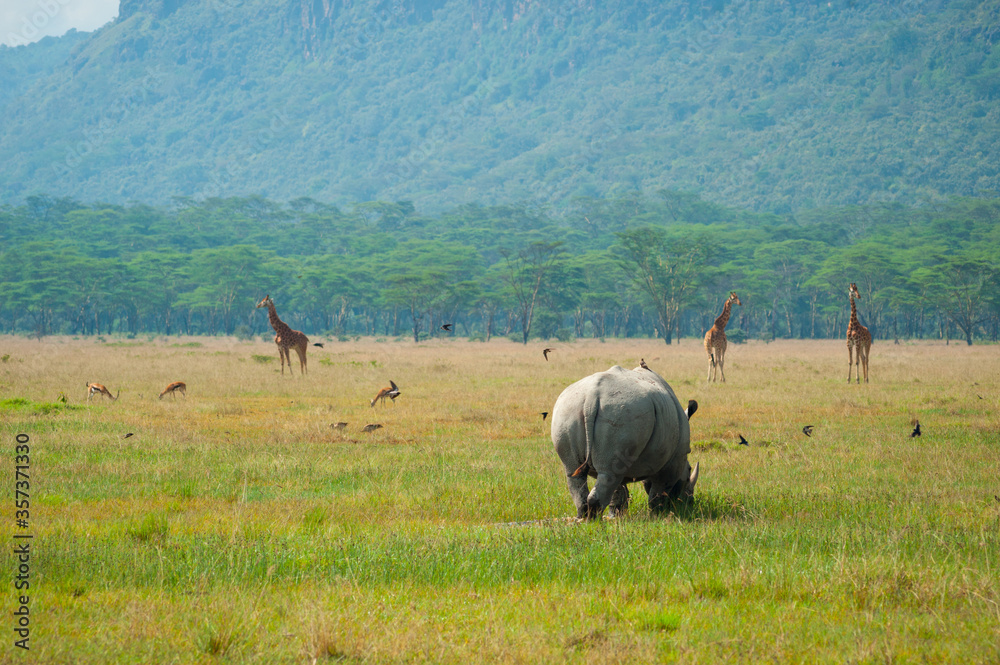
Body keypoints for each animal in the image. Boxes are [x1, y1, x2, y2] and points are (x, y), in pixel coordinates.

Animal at [550, 365, 699, 519]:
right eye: (689, 470)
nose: (690, 500)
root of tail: (591, 397)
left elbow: (619, 490)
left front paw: (616, 516)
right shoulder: (674, 460)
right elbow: (658, 492)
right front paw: (659, 515)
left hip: (569, 412)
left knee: (577, 472)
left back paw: (582, 518)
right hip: (621, 415)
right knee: (607, 475)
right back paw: (593, 520)